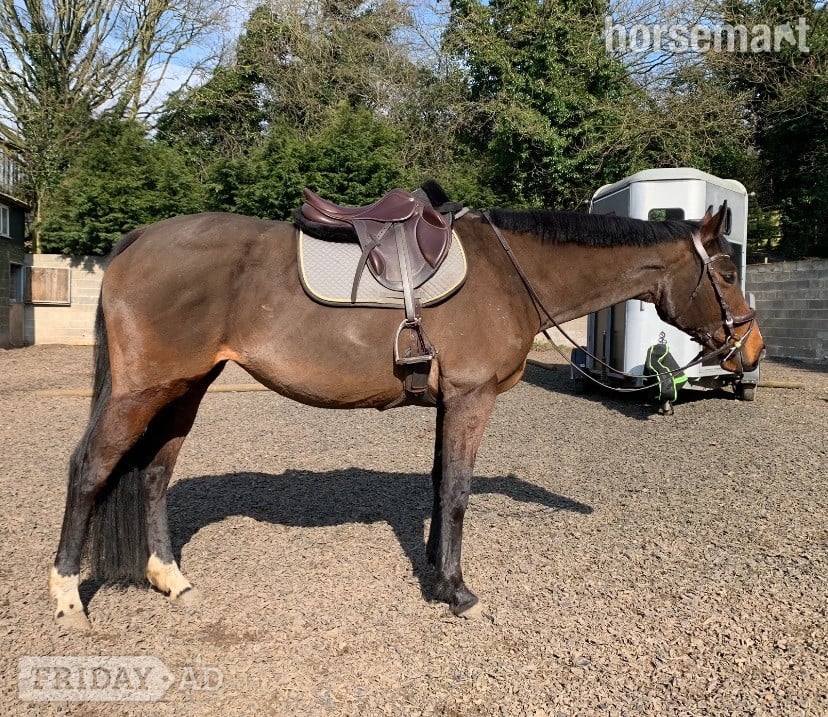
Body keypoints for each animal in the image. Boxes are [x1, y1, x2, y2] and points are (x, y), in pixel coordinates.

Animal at [48, 186, 764, 630]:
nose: (752, 349)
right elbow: (458, 492)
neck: (510, 274)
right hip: (144, 390)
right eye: (727, 273)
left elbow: (440, 485)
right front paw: (458, 592)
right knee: (90, 470)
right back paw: (67, 597)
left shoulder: (451, 402)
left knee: (153, 475)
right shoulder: (472, 399)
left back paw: (170, 578)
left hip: (186, 388)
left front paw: (435, 574)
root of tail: (137, 240)